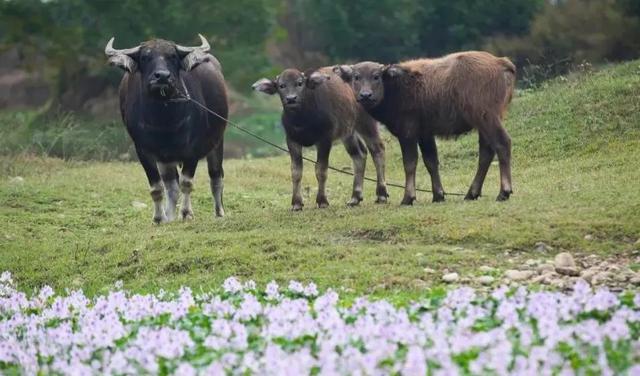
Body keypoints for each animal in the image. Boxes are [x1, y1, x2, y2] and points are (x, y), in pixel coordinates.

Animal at [107, 34, 230, 223]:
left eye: (173, 56)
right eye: (145, 57)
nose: (162, 76)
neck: (163, 120)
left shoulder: (192, 150)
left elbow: (187, 182)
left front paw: (186, 213)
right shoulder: (144, 152)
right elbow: (157, 187)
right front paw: (159, 218)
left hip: (217, 143)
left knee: (216, 177)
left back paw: (219, 212)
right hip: (166, 158)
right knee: (171, 186)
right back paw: (170, 215)